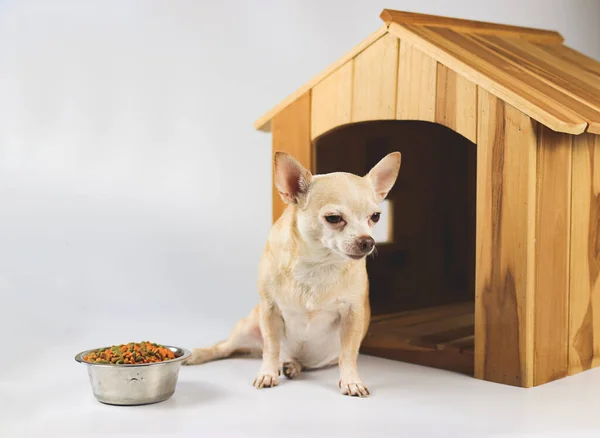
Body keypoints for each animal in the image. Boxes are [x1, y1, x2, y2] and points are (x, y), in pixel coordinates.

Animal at [186, 151, 404, 396]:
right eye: (333, 218)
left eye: (375, 216)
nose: (368, 241)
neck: (317, 263)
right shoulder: (270, 309)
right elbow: (271, 347)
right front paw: (267, 374)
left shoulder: (353, 314)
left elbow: (348, 354)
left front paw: (351, 381)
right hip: (247, 326)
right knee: (226, 347)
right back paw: (199, 354)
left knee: (294, 359)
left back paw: (293, 366)